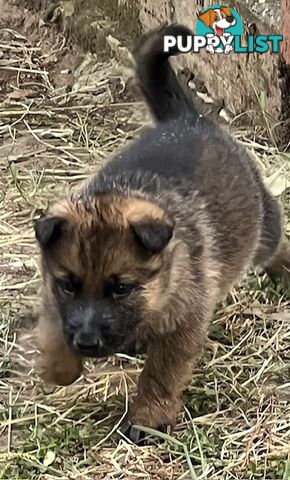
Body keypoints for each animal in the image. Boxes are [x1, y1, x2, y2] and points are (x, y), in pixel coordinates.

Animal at [34, 23, 290, 442]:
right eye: (68, 285)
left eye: (121, 288)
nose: (86, 343)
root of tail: (189, 120)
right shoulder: (54, 295)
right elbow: (55, 325)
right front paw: (60, 367)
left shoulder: (183, 327)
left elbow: (160, 374)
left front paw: (149, 417)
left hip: (262, 228)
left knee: (275, 242)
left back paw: (284, 269)